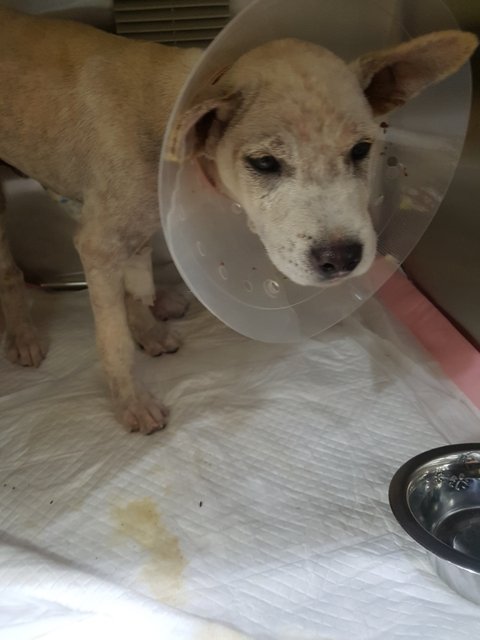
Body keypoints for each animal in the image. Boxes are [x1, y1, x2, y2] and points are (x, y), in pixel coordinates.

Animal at [0, 7, 476, 433]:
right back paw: (23, 337)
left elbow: (132, 285)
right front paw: (131, 401)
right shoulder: (99, 243)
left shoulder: (126, 229)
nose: (342, 259)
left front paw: (148, 328)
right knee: (11, 274)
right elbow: (113, 337)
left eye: (361, 150)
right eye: (264, 162)